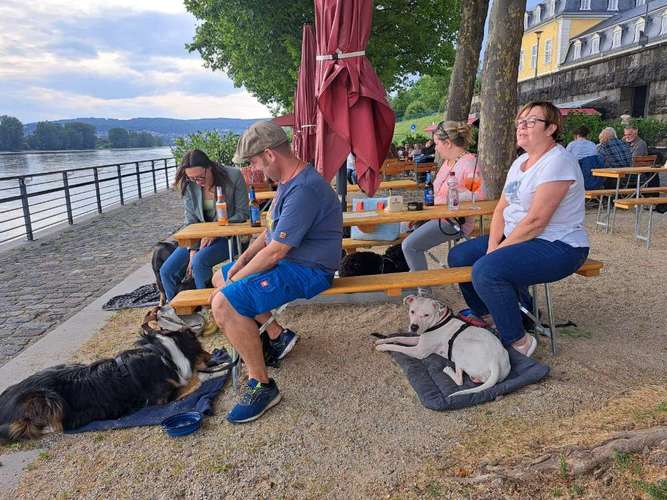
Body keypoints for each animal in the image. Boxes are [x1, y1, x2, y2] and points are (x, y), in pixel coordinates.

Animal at [0, 330, 209, 444]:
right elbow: (191, 381)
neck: (163, 354)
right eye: (202, 348)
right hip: (46, 397)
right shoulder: (159, 399)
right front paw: (202, 377)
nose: (211, 357)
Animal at [376, 294, 512, 396]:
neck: (439, 321)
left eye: (426, 315)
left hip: (461, 349)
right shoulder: (418, 340)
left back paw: (448, 370)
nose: (414, 327)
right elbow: (399, 338)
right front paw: (381, 341)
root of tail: (495, 362)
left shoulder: (418, 352)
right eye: (412, 311)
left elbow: (398, 347)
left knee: (460, 381)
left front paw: (382, 347)